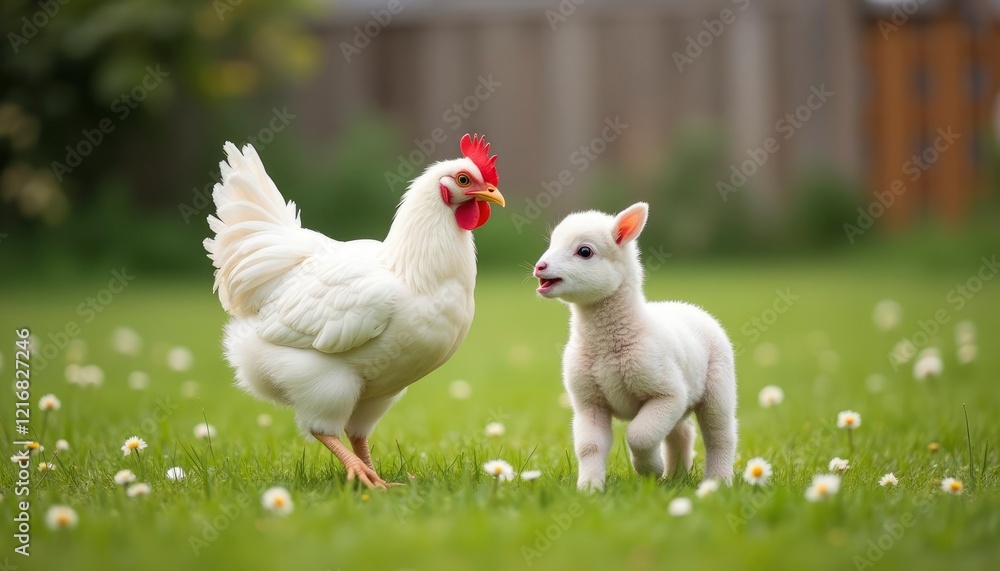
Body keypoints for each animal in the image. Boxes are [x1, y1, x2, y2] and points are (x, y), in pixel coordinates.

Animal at [533, 202, 737, 491]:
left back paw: (717, 481)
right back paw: (676, 477)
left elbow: (639, 435)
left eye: (584, 251)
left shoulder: (668, 394)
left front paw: (650, 469)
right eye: (552, 243)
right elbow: (589, 446)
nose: (540, 266)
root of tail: (690, 306)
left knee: (720, 435)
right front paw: (589, 488)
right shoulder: (588, 402)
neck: (605, 348)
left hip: (718, 385)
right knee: (682, 432)